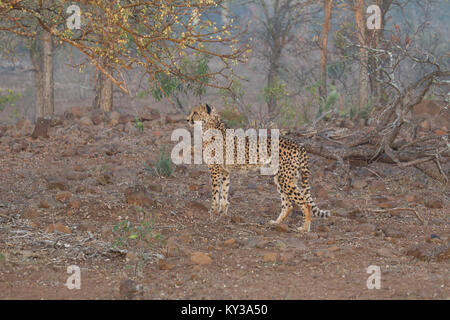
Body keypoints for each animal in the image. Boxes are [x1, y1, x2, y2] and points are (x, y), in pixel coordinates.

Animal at [186, 104, 330, 231]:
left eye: (195, 113)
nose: (187, 119)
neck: (210, 125)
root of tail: (297, 144)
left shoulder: (215, 169)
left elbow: (215, 192)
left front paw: (212, 211)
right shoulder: (225, 171)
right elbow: (224, 192)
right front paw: (223, 213)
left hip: (285, 179)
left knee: (305, 204)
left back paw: (304, 228)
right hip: (281, 178)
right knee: (288, 205)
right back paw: (276, 223)